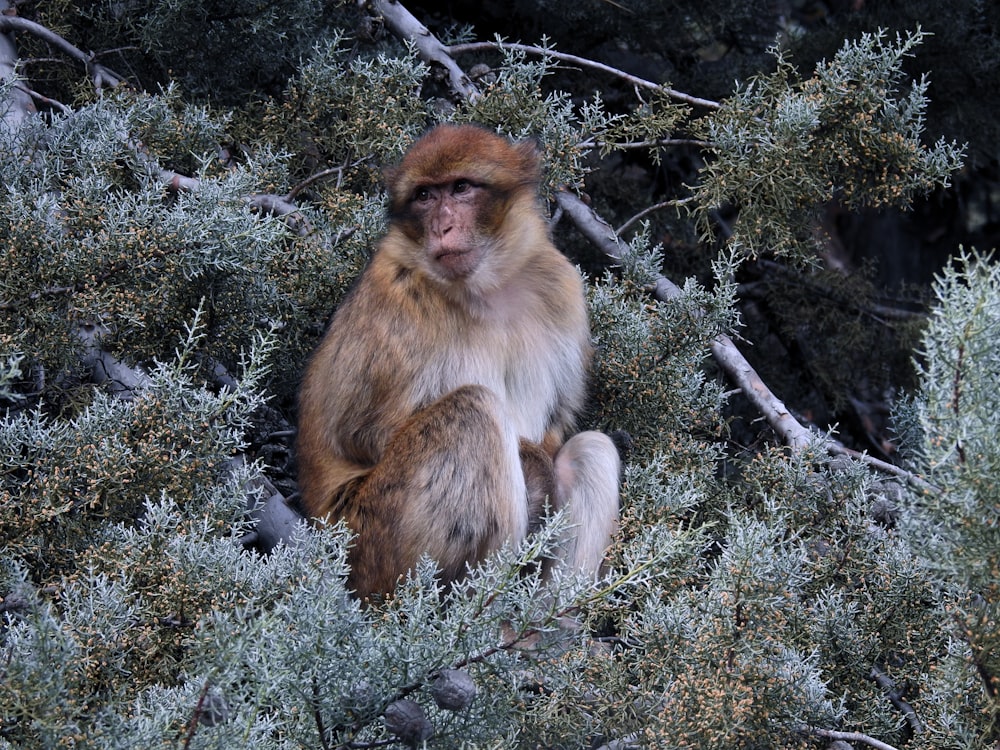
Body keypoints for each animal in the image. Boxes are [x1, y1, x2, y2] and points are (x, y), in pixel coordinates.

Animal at [294, 126, 616, 604]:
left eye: (461, 188)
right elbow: (362, 436)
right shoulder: (397, 300)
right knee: (474, 410)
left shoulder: (561, 285)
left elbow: (558, 425)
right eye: (425, 196)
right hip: (372, 542)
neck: (487, 288)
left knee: (591, 450)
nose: (442, 227)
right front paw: (534, 471)